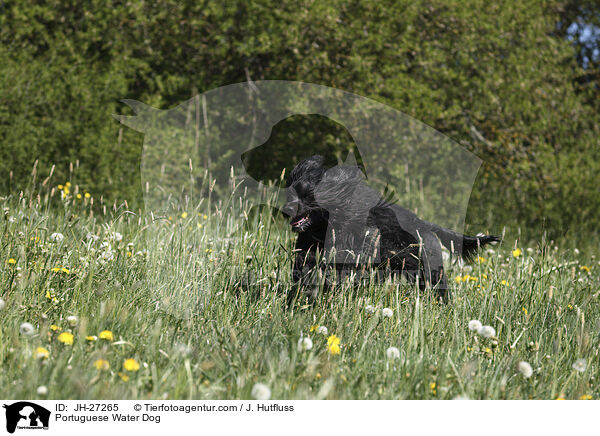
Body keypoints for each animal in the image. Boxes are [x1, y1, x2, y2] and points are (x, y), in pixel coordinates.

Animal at [284, 156, 500, 304]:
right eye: (290, 191)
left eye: (307, 194)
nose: (286, 209)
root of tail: (427, 225)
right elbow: (305, 261)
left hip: (429, 270)